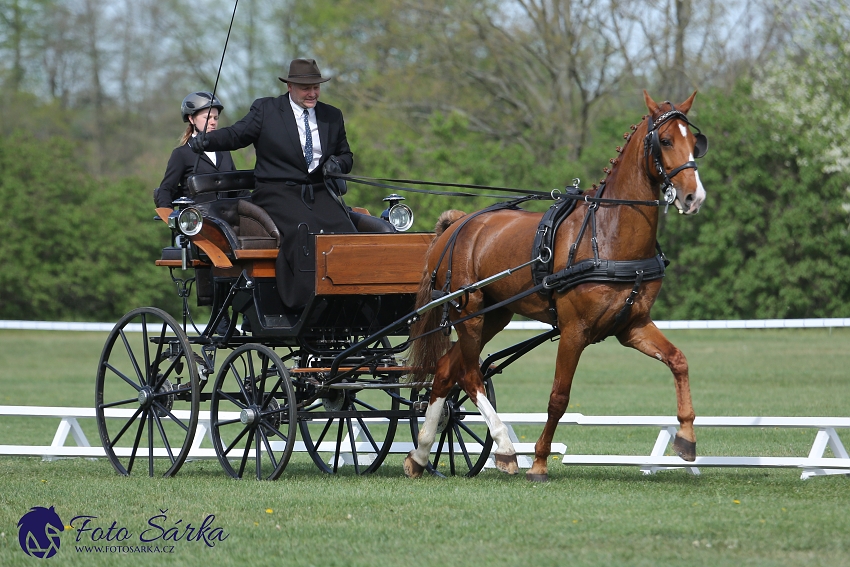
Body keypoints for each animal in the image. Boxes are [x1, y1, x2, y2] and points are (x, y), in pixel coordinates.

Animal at [404, 91, 704, 482]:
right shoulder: (575, 330)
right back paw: (504, 449)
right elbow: (559, 396)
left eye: (695, 142)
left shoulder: (632, 326)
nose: (693, 197)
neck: (606, 232)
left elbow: (678, 361)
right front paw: (540, 462)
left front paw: (686, 438)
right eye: (665, 141)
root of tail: (456, 224)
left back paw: (421, 454)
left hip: (493, 315)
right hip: (469, 313)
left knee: (444, 371)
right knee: (470, 375)